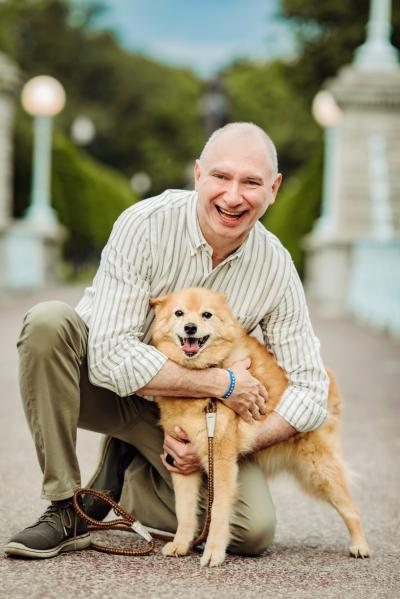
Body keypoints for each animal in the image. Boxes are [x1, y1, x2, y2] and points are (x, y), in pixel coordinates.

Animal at [150, 288, 368, 568]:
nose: (190, 327)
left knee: (352, 510)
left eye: (206, 315)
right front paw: (181, 544)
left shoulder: (221, 460)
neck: (207, 373)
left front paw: (214, 551)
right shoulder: (180, 460)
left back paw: (360, 546)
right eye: (179, 313)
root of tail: (327, 383)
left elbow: (218, 510)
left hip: (318, 471)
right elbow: (184, 511)